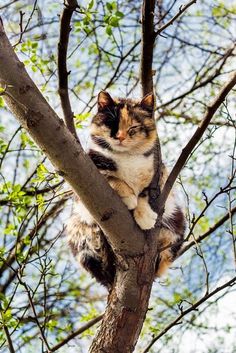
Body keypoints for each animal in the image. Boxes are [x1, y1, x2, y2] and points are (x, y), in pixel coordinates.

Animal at [66, 92, 184, 288]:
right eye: (111, 123)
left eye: (134, 127)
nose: (120, 137)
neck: (127, 157)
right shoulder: (87, 175)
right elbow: (113, 178)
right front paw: (129, 197)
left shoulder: (159, 176)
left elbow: (144, 194)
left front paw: (145, 216)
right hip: (77, 228)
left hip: (178, 219)